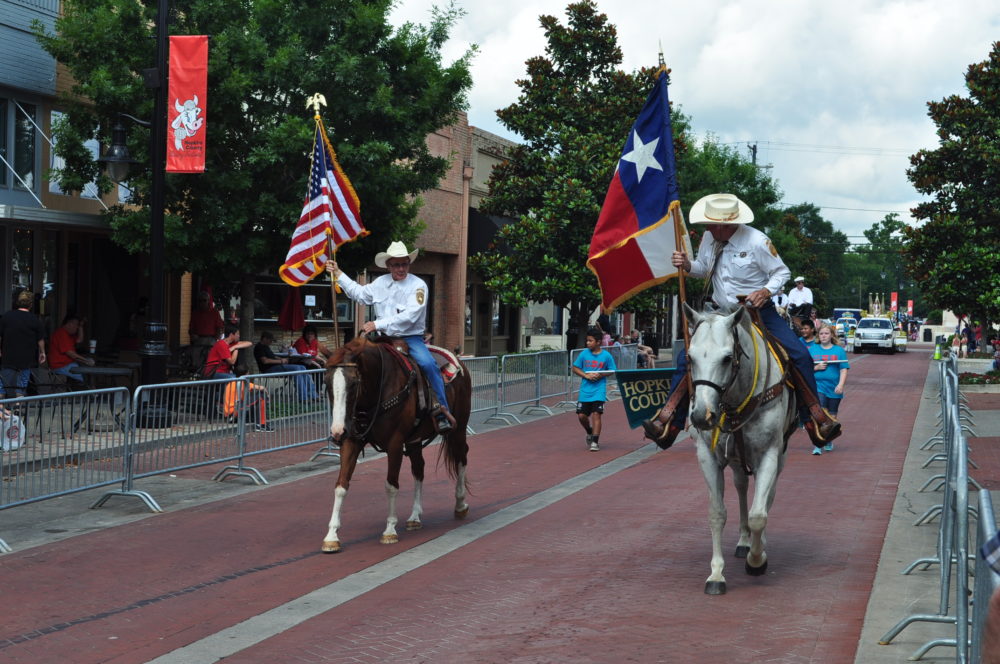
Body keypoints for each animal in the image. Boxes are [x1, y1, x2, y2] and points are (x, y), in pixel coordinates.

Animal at [322, 334, 474, 552]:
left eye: (353, 383)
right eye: (326, 383)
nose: (337, 432)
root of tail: (459, 361)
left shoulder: (394, 443)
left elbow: (391, 485)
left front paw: (389, 530)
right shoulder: (352, 441)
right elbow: (341, 485)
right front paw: (332, 536)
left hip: (458, 428)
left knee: (461, 458)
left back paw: (460, 505)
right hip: (414, 440)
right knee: (419, 469)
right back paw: (415, 517)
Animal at [680, 304, 796, 592]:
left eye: (727, 358)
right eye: (690, 357)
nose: (701, 416)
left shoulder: (768, 455)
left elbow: (758, 515)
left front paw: (757, 560)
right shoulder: (707, 456)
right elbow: (717, 513)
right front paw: (716, 574)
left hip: (780, 457)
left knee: (767, 497)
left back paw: (757, 545)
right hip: (735, 460)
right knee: (742, 486)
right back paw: (744, 541)